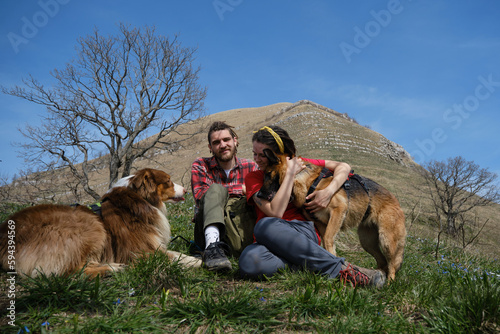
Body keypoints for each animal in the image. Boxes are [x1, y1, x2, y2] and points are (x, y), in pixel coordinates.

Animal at [2, 170, 201, 276]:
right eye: (168, 180)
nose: (186, 189)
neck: (138, 200)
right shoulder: (138, 251)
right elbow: (175, 256)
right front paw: (199, 262)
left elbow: (175, 253)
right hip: (90, 227)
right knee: (71, 270)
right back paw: (113, 268)